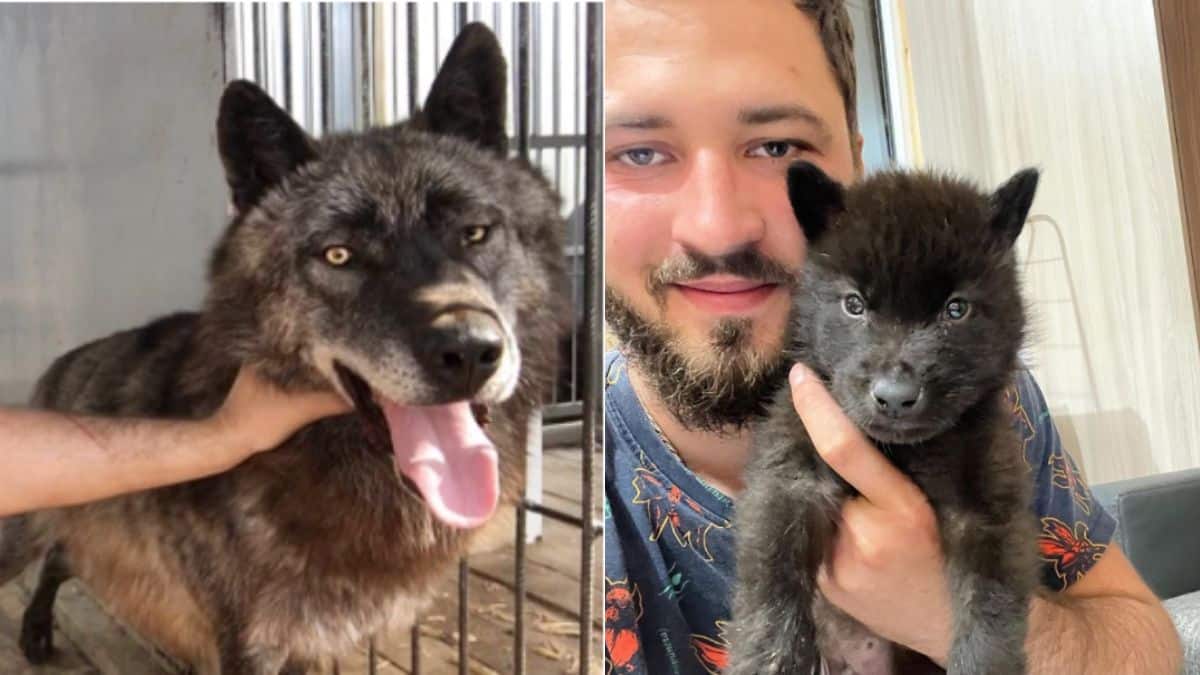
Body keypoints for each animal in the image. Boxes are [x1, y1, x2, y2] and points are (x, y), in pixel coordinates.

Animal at [0, 23, 567, 674]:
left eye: (474, 233)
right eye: (339, 255)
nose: (470, 352)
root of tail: (61, 364)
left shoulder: (314, 643)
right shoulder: (250, 642)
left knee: (64, 553)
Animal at [728, 162, 1041, 675]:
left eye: (956, 309)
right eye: (854, 304)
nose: (895, 397)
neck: (898, 450)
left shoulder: (990, 508)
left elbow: (990, 614)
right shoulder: (788, 479)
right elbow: (771, 588)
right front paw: (768, 660)